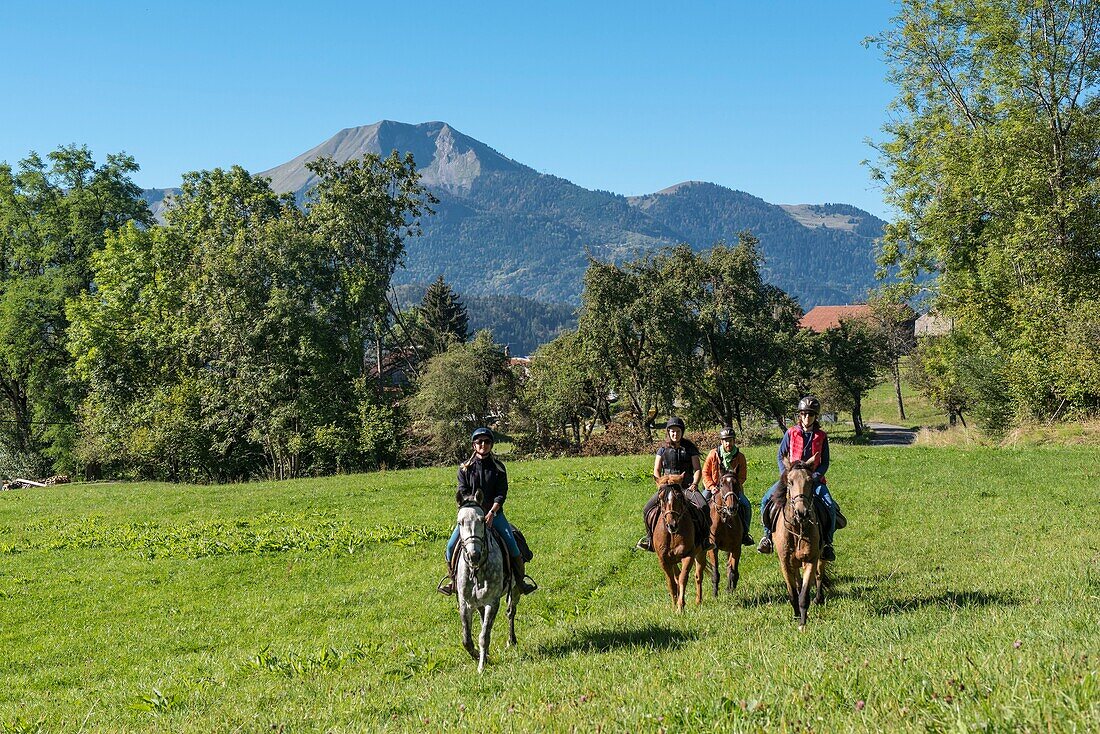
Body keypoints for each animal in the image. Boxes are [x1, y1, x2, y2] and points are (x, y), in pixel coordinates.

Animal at [457, 501, 521, 669]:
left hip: (515, 590)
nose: (474, 555)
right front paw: (479, 655)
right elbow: (466, 640)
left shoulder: (492, 602)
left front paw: (482, 665)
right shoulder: (465, 604)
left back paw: (511, 640)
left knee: (511, 612)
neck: (477, 569)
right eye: (460, 522)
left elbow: (484, 636)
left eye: (482, 520)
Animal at [651, 473, 704, 611]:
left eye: (679, 496)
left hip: (701, 553)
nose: (672, 525)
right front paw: (674, 606)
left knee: (698, 575)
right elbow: (671, 583)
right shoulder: (664, 560)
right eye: (660, 498)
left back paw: (698, 601)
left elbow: (683, 579)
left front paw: (680, 607)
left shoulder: (688, 555)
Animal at [708, 470, 743, 598]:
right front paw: (714, 595)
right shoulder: (713, 549)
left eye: (736, 483)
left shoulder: (736, 548)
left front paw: (731, 590)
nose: (732, 508)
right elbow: (715, 572)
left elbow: (732, 570)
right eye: (722, 485)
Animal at [774, 453, 827, 633]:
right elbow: (793, 593)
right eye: (790, 481)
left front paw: (803, 622)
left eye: (810, 481)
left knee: (819, 575)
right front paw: (796, 615)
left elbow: (803, 595)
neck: (797, 529)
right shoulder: (784, 563)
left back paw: (819, 598)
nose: (802, 513)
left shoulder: (810, 560)